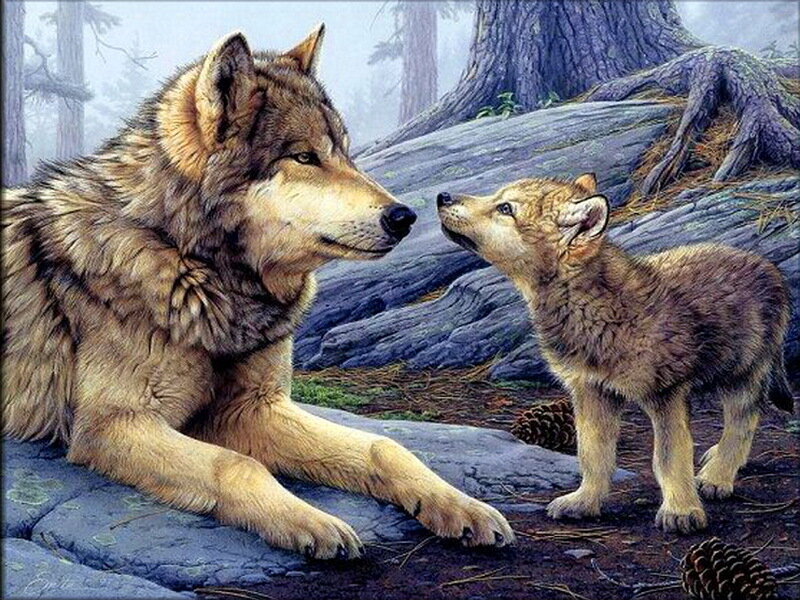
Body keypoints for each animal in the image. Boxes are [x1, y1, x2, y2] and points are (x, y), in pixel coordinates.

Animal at [2, 27, 514, 559]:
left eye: (345, 153)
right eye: (305, 157)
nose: (405, 216)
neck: (193, 266)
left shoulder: (254, 409)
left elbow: (383, 446)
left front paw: (461, 506)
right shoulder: (111, 425)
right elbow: (237, 464)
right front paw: (312, 523)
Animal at [436, 174, 793, 533]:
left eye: (506, 208)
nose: (442, 196)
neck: (595, 307)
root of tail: (769, 267)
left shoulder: (666, 395)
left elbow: (669, 458)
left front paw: (681, 511)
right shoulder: (590, 390)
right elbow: (593, 455)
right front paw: (584, 502)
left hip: (742, 374)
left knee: (743, 422)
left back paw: (717, 477)